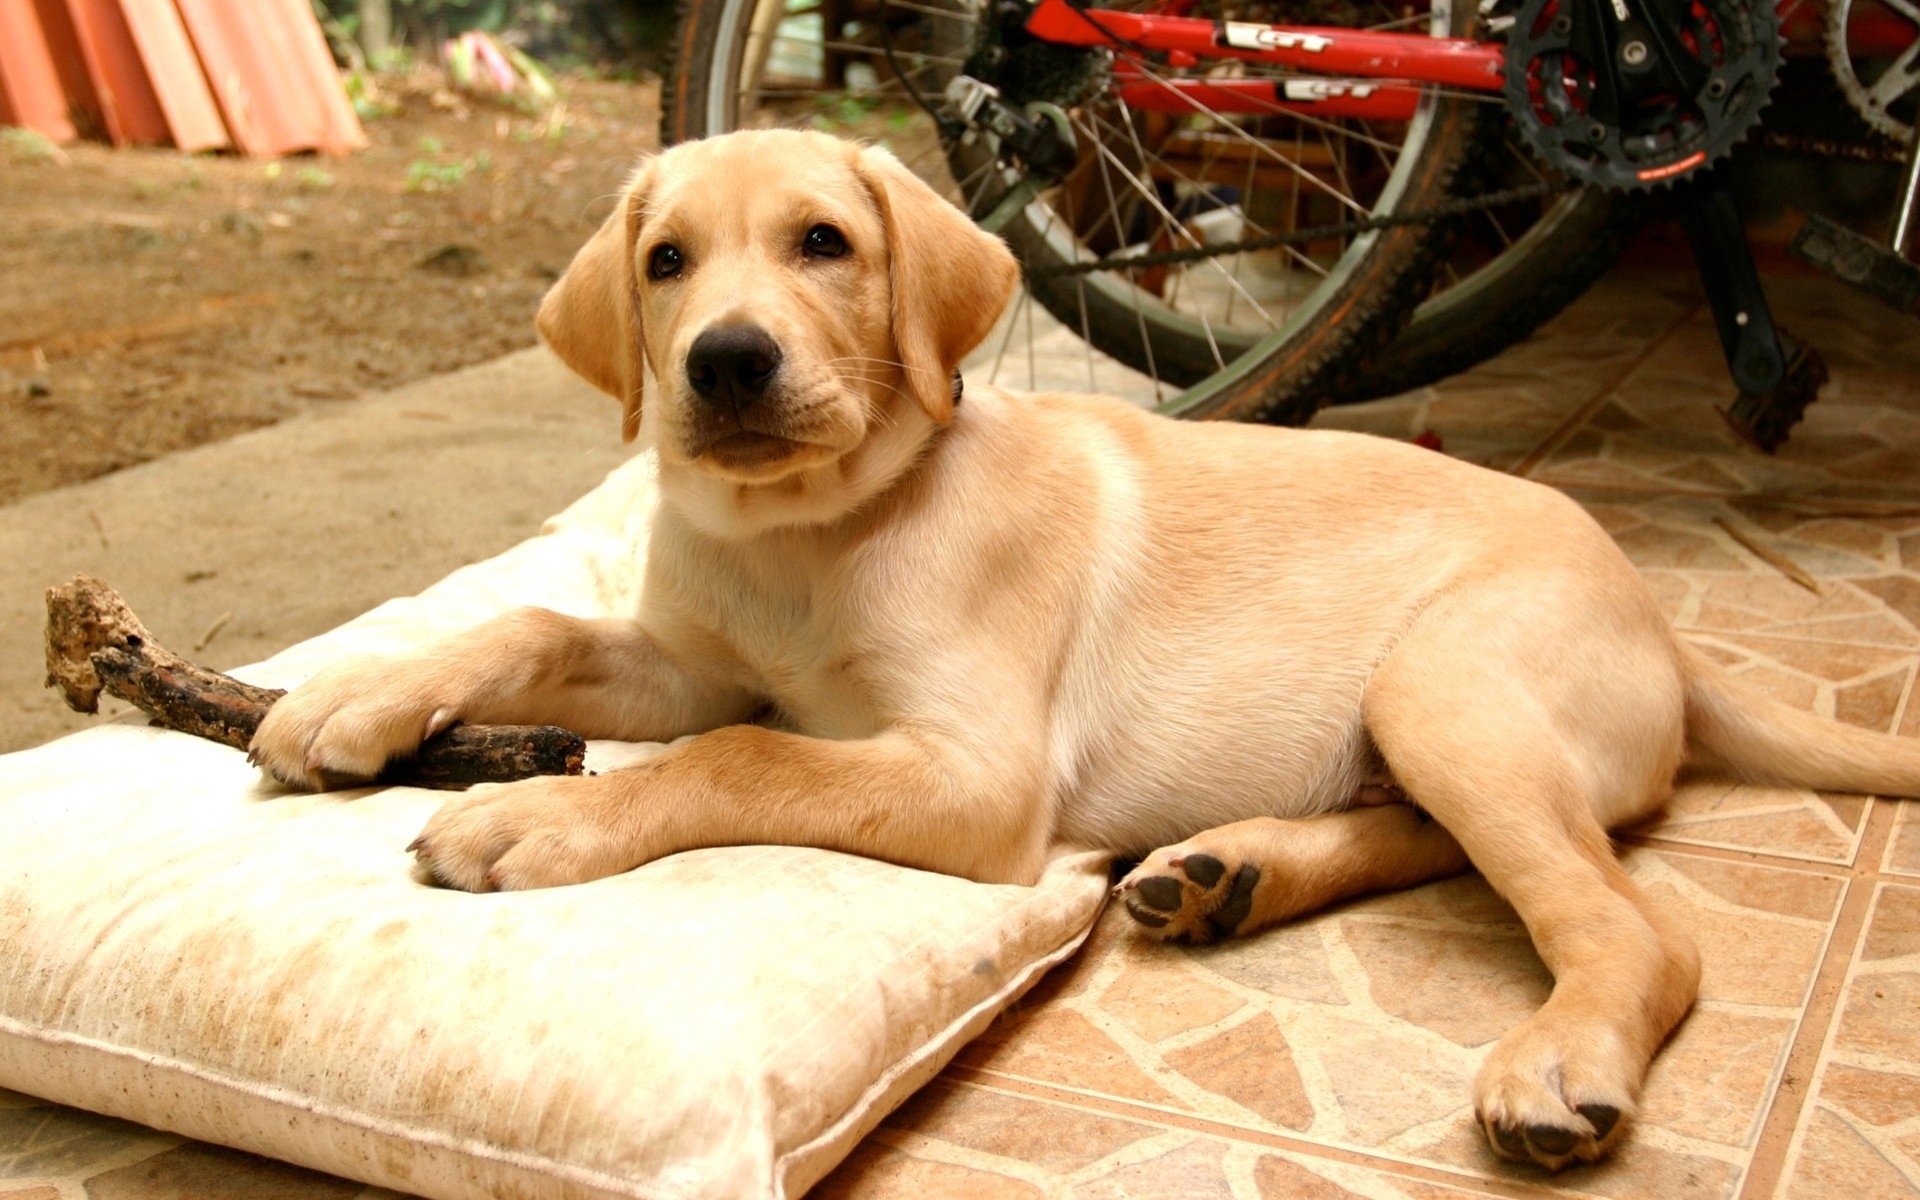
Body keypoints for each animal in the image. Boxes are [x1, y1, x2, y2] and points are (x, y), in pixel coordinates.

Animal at [251, 130, 1920, 1167]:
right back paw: (1229, 873)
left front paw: (535, 811)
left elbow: (739, 756)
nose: (727, 363)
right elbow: (539, 623)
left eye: (824, 244)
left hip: (1446, 683)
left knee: (1638, 929)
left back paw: (1558, 1062)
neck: (814, 537)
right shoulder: (689, 656)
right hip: (1425, 725)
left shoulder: (971, 773)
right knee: (1435, 839)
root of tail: (1660, 622)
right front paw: (355, 691)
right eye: (665, 262)